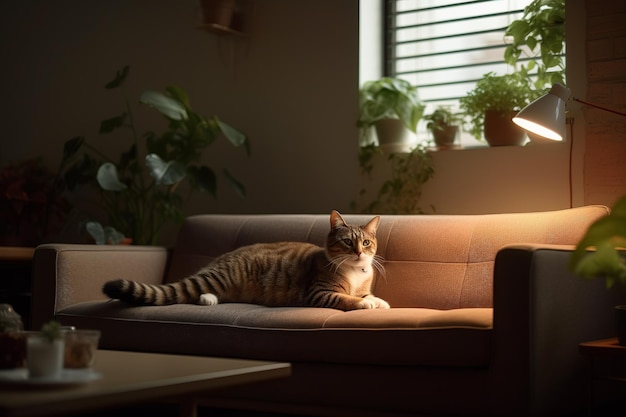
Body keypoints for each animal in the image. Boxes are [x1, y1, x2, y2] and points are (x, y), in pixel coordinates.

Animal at [101, 211, 390, 308]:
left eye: (366, 242)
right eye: (347, 242)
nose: (359, 252)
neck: (354, 272)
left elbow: (367, 294)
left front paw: (377, 300)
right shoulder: (319, 293)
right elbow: (347, 299)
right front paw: (366, 304)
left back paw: (209, 300)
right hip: (220, 276)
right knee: (191, 287)